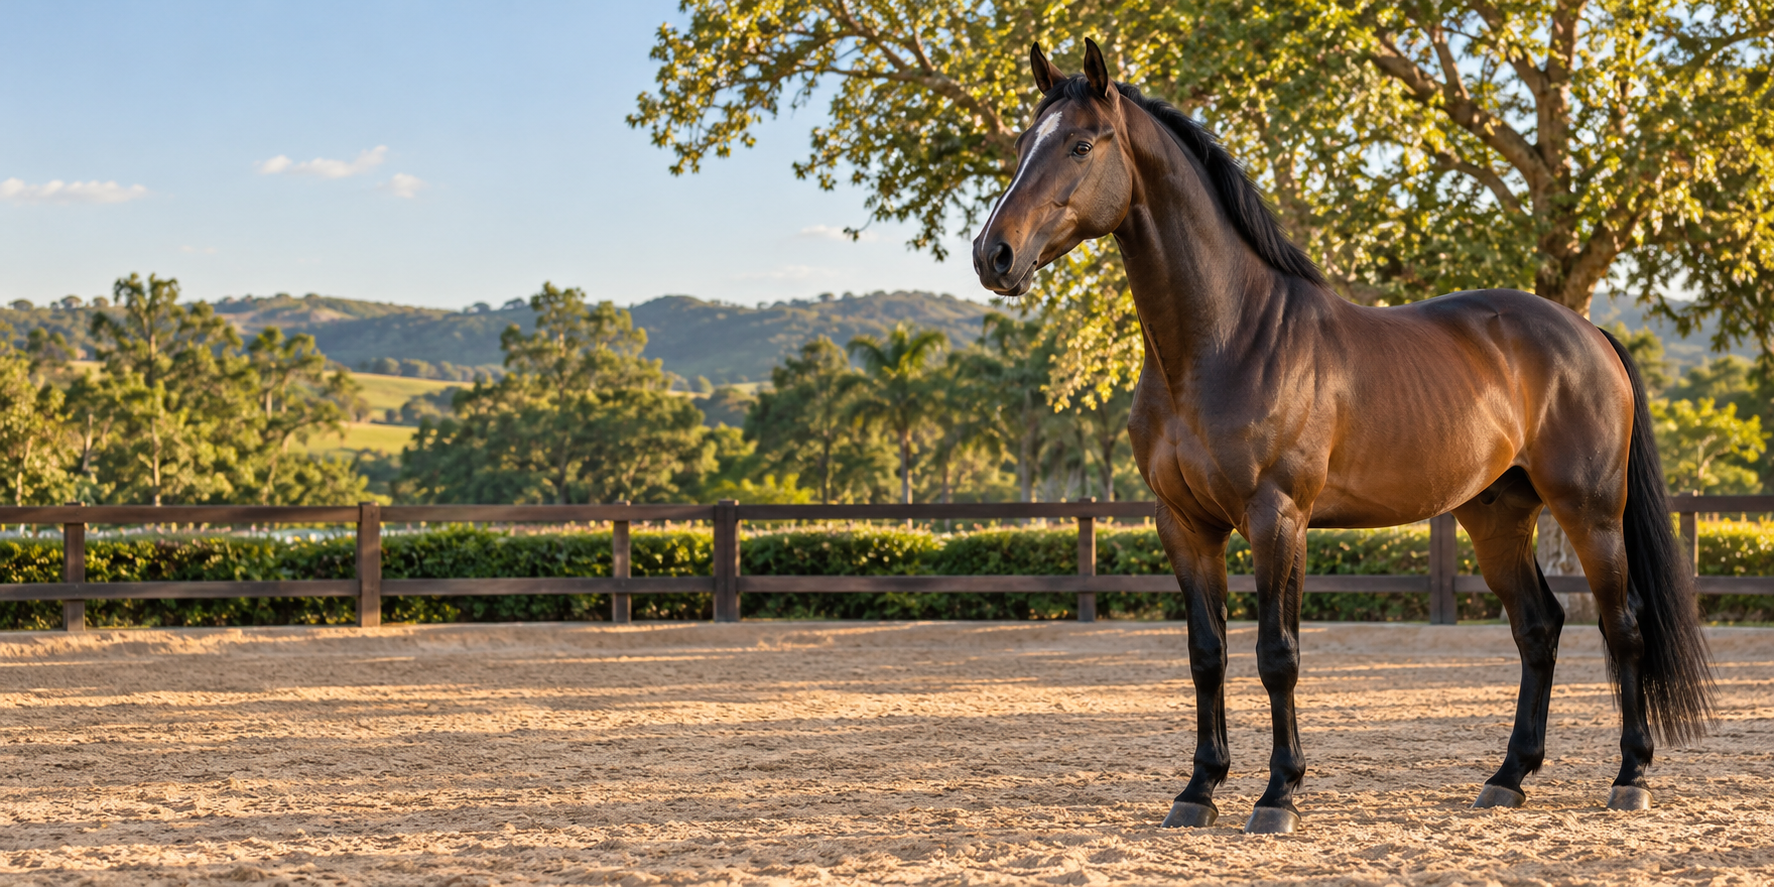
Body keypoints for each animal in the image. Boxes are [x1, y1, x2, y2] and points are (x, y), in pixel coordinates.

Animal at [972, 39, 1714, 834]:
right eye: (1022, 144)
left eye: (1082, 144)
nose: (994, 255)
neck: (1226, 339)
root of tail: (1587, 334)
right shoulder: (1185, 525)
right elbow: (1207, 653)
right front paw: (1199, 790)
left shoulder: (1277, 518)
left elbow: (1278, 654)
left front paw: (1278, 794)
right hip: (1496, 516)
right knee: (1539, 627)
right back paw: (1508, 777)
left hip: (1590, 512)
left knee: (1623, 625)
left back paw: (1631, 775)